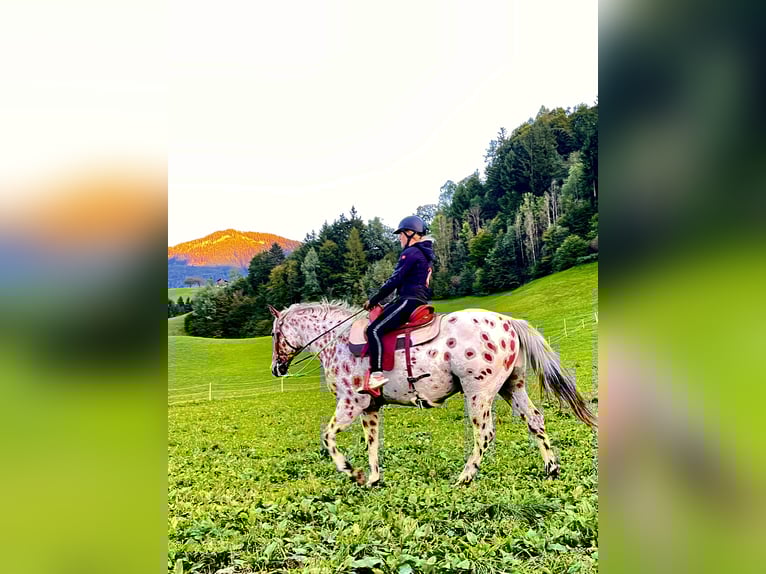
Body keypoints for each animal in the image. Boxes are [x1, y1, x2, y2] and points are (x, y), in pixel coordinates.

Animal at [269, 300, 597, 486]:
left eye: (274, 334)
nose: (276, 369)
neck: (338, 341)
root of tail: (508, 322)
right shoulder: (370, 407)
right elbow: (371, 443)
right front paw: (372, 479)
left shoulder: (351, 403)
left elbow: (328, 437)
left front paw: (352, 472)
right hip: (511, 388)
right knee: (535, 420)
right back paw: (551, 469)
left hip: (478, 393)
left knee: (485, 433)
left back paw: (465, 477)